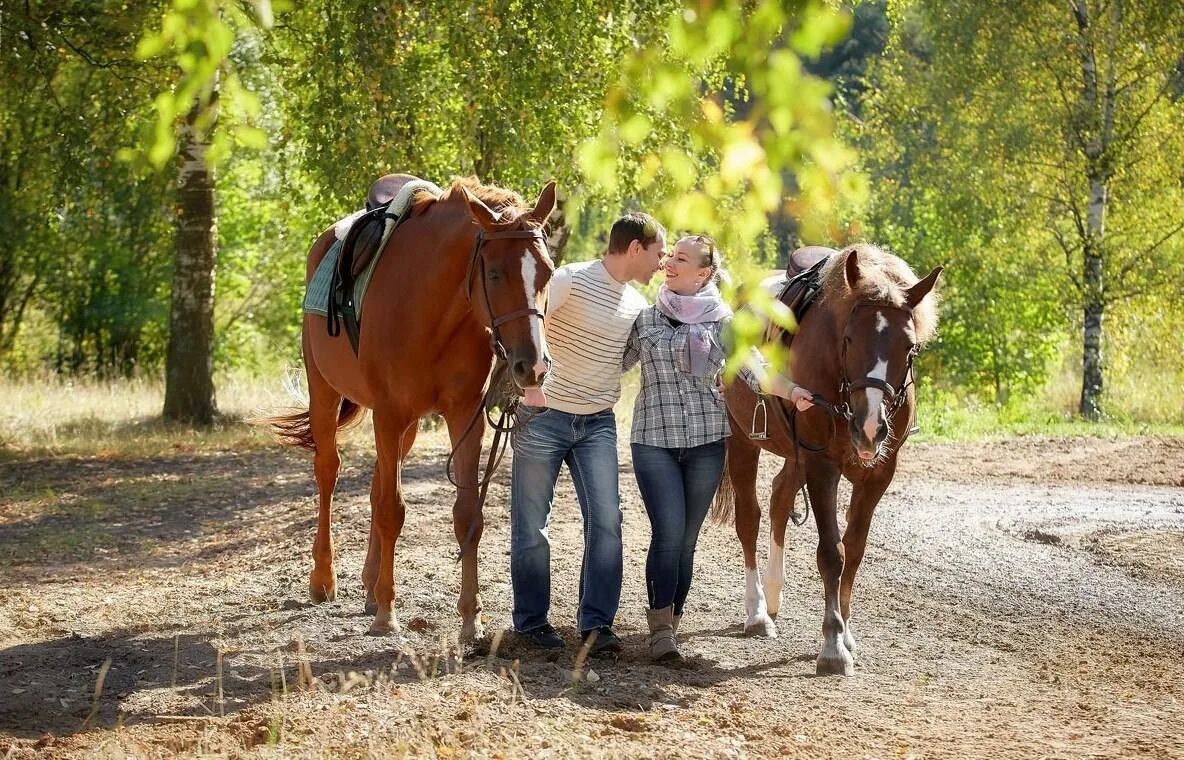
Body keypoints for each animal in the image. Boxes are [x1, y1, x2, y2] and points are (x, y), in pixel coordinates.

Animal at [271, 177, 556, 639]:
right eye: (495, 273)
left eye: (547, 272)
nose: (532, 366)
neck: (432, 309)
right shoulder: (389, 413)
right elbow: (392, 509)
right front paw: (388, 614)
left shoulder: (463, 415)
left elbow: (466, 515)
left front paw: (470, 619)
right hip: (325, 392)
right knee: (329, 472)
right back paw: (324, 580)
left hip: (406, 429)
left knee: (375, 485)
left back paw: (370, 586)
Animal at [715, 243, 937, 672]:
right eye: (848, 338)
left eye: (910, 346)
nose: (871, 427)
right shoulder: (822, 465)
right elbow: (832, 554)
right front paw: (832, 645)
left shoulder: (879, 472)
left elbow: (855, 550)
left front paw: (846, 632)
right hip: (743, 439)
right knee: (750, 519)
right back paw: (757, 612)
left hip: (795, 452)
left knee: (780, 496)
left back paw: (773, 593)